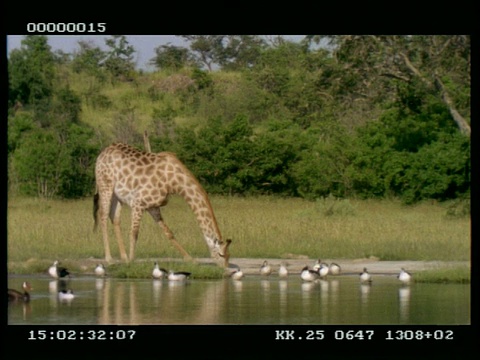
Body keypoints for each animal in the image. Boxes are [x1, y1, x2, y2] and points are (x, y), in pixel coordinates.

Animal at [93, 143, 232, 268]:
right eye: (221, 254)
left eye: (229, 256)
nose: (225, 269)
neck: (174, 182)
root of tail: (101, 154)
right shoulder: (138, 202)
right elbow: (134, 232)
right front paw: (132, 262)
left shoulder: (152, 206)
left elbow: (168, 233)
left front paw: (191, 260)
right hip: (105, 185)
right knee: (103, 216)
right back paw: (110, 259)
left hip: (117, 195)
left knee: (115, 218)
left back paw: (124, 257)